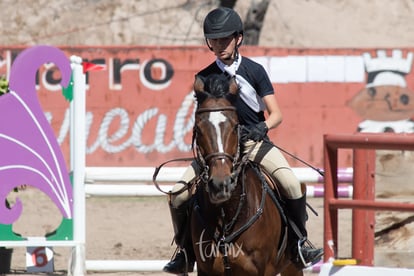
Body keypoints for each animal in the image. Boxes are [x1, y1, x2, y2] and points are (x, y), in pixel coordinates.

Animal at [189, 74, 302, 276]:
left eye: (236, 127)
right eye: (198, 129)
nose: (220, 185)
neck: (226, 212)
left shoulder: (261, 270)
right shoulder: (205, 270)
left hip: (292, 266)